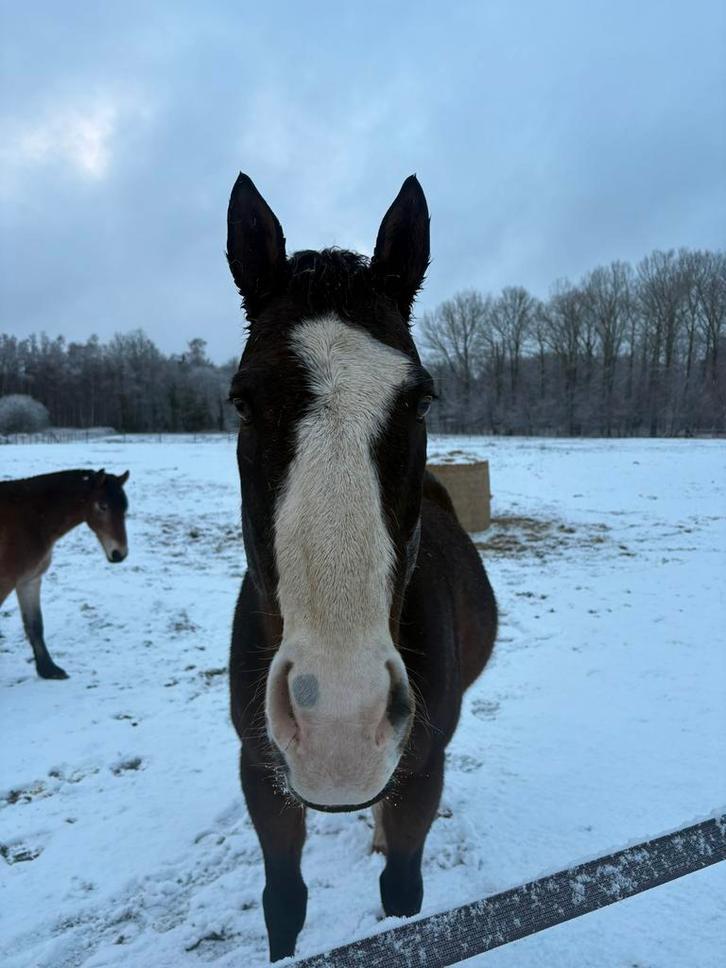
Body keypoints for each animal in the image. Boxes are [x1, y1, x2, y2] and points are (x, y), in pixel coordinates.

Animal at [0, 468, 129, 679]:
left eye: (125, 508)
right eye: (102, 506)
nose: (120, 554)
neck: (30, 520)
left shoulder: (29, 580)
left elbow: (35, 625)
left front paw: (48, 670)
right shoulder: (4, 583)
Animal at [226, 173, 497, 962]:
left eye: (422, 398)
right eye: (241, 401)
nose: (339, 721)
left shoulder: (423, 771)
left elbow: (405, 900)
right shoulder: (260, 773)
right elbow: (283, 902)